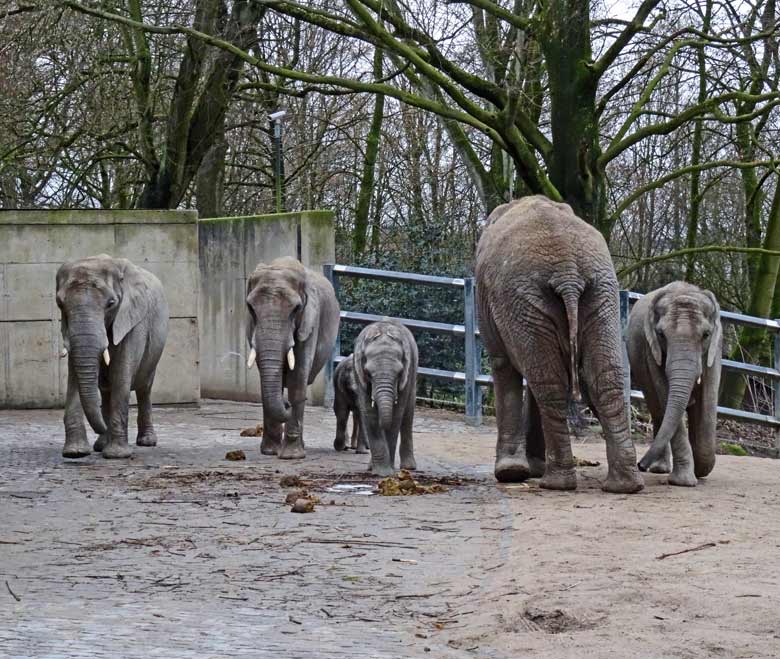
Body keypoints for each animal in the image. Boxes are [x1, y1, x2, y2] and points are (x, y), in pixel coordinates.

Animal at [56, 255, 169, 462]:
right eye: (60, 303)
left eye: (111, 303)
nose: (101, 429)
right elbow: (74, 376)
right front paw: (75, 453)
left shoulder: (133, 320)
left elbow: (122, 373)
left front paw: (117, 455)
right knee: (105, 389)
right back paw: (101, 444)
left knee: (144, 387)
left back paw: (146, 441)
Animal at [247, 255, 338, 462]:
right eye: (250, 308)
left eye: (296, 309)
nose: (286, 404)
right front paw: (270, 452)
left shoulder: (310, 321)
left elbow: (298, 377)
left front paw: (290, 456)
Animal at [352, 318, 418, 474]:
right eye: (368, 373)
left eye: (399, 372)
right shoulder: (359, 375)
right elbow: (370, 414)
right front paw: (381, 472)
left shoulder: (407, 375)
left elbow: (396, 416)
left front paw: (388, 472)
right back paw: (372, 467)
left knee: (408, 416)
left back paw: (409, 467)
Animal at [476, 196, 644, 496]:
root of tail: (567, 273)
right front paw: (529, 468)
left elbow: (503, 365)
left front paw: (512, 472)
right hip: (601, 293)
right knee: (604, 379)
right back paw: (624, 486)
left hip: (526, 296)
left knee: (549, 384)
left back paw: (555, 483)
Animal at [624, 282, 724, 488]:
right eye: (661, 334)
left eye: (706, 334)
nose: (640, 465)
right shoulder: (651, 350)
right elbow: (664, 393)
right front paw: (684, 482)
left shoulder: (715, 349)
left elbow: (708, 401)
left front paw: (700, 470)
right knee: (657, 408)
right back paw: (660, 469)